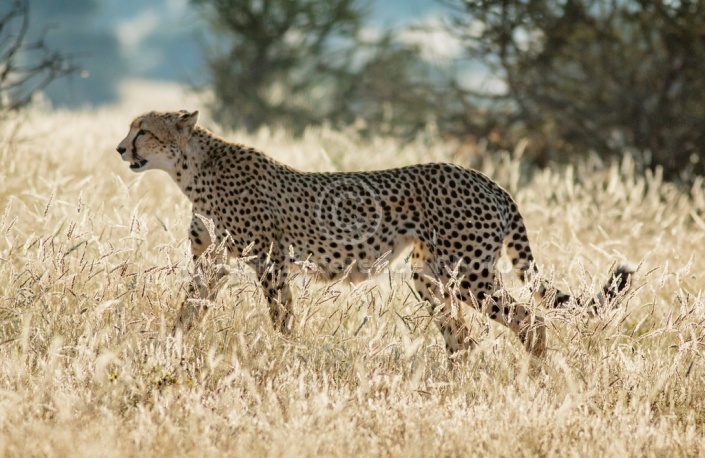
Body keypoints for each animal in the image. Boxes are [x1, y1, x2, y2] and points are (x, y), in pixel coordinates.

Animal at [115, 110, 632, 358]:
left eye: (144, 130)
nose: (121, 149)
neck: (191, 169)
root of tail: (488, 180)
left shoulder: (270, 260)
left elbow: (281, 319)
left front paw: (286, 357)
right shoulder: (212, 262)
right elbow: (187, 311)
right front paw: (166, 349)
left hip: (470, 275)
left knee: (531, 320)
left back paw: (536, 379)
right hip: (431, 276)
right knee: (463, 338)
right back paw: (449, 388)